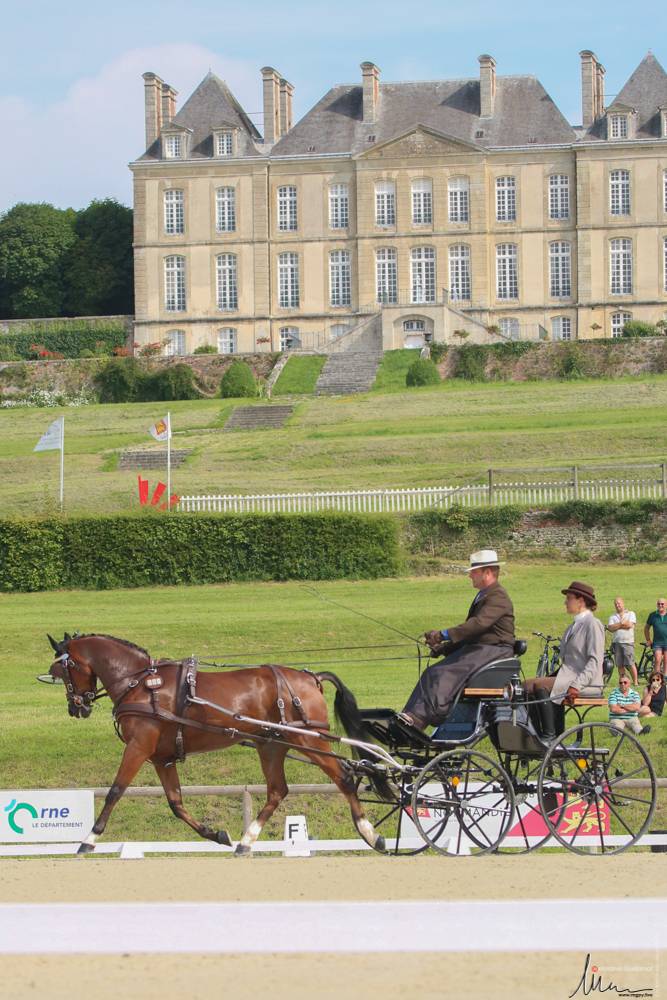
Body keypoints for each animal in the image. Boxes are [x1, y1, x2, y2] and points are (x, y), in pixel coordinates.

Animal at [44, 632, 385, 856]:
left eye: (63, 669)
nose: (76, 707)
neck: (140, 684)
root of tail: (310, 676)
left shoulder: (139, 747)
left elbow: (115, 791)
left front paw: (89, 839)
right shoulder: (162, 757)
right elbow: (176, 803)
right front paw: (217, 834)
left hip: (307, 739)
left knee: (344, 778)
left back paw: (371, 835)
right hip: (271, 745)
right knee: (277, 790)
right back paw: (246, 841)